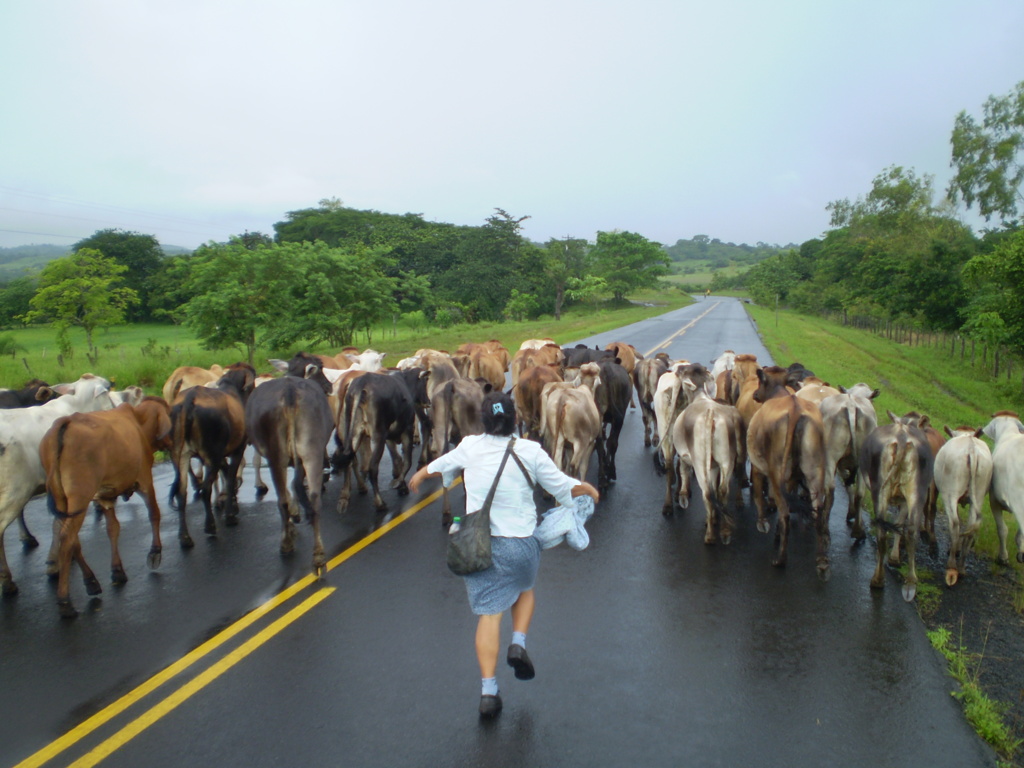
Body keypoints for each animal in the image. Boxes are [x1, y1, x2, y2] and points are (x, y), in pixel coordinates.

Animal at [39, 397, 172, 618]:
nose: (172, 440)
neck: (138, 422)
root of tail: (64, 422)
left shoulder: (105, 496)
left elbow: (113, 529)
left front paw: (117, 570)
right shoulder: (145, 479)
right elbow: (154, 513)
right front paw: (155, 552)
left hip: (61, 499)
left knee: (70, 539)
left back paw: (91, 582)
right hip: (80, 496)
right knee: (67, 539)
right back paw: (65, 601)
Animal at [937, 430, 991, 585]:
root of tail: (971, 447)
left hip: (950, 493)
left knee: (954, 524)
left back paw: (951, 567)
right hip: (978, 495)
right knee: (971, 526)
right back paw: (961, 567)